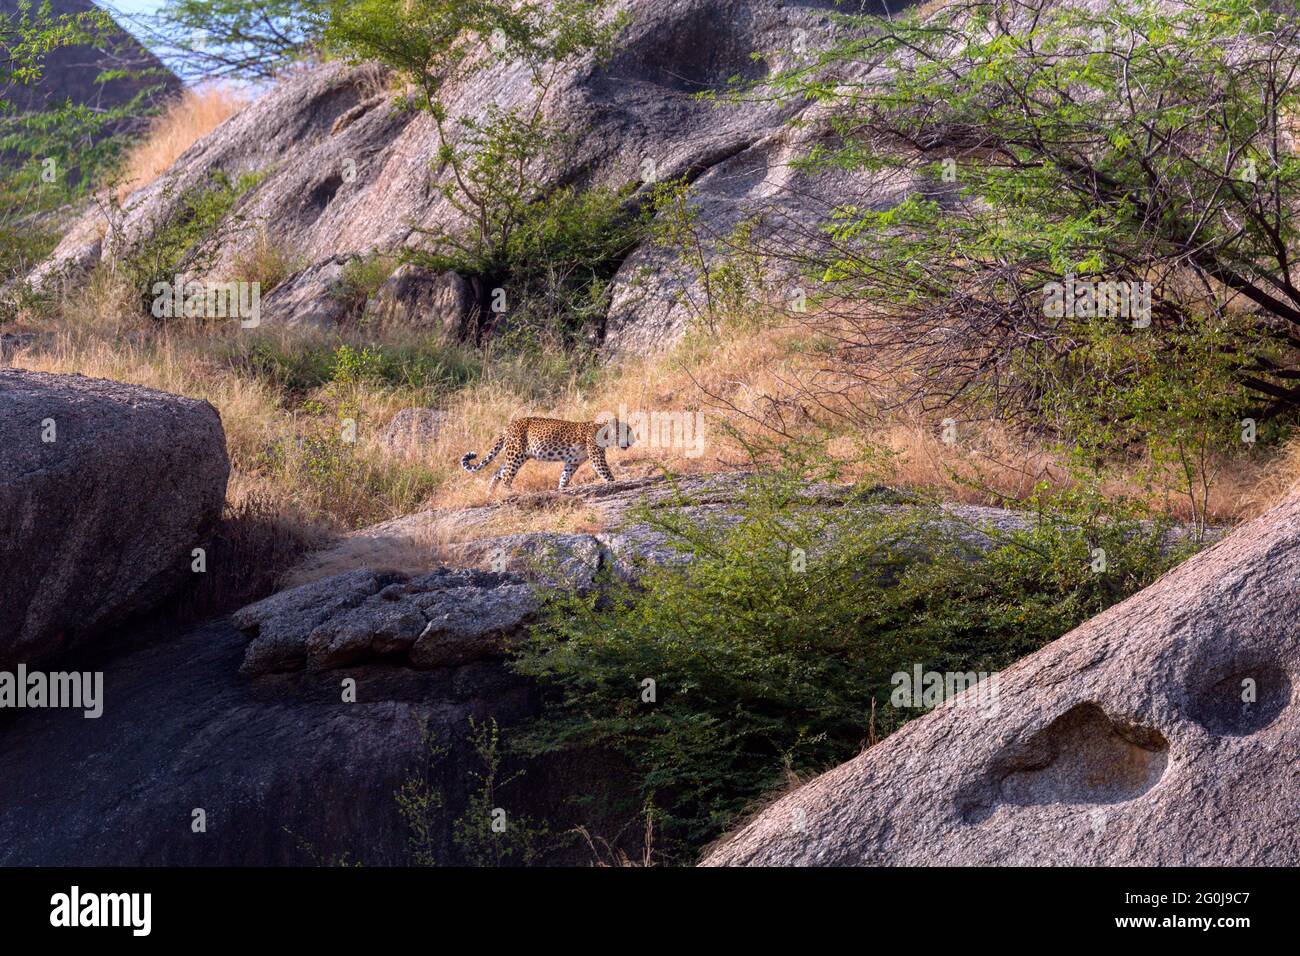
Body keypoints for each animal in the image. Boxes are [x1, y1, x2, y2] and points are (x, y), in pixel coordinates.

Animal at [460, 416, 637, 494]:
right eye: (627, 431)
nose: (634, 440)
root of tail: (508, 426)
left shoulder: (572, 462)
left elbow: (564, 477)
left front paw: (560, 490)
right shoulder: (597, 458)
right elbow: (607, 474)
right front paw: (615, 484)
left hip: (519, 456)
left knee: (499, 471)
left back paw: (490, 493)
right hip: (516, 454)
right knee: (506, 475)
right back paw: (510, 493)